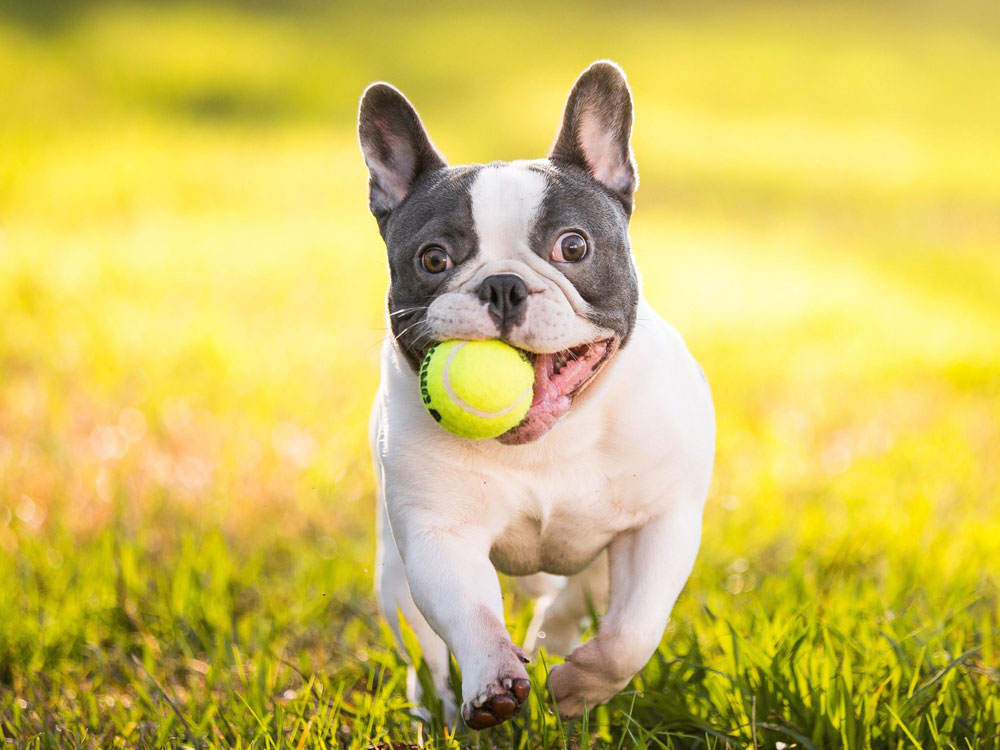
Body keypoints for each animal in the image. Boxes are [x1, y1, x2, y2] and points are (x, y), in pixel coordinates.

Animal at [360, 61, 712, 732]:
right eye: (433, 259)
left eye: (573, 247)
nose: (502, 284)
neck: (549, 440)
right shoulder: (439, 534)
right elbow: (470, 613)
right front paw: (493, 681)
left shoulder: (660, 524)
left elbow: (632, 631)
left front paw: (578, 686)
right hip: (393, 577)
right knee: (424, 650)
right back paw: (436, 710)